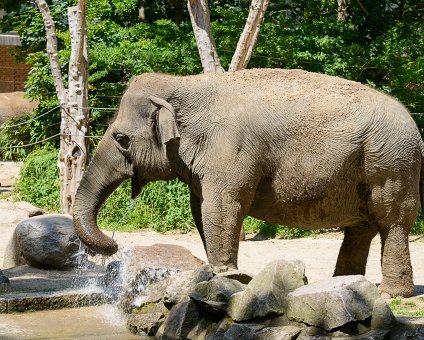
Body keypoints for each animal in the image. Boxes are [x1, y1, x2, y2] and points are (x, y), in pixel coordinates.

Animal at [73, 68, 424, 298]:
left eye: (121, 139)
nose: (114, 245)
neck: (184, 84)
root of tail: (415, 128)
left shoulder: (231, 149)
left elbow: (222, 207)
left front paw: (228, 280)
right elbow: (202, 210)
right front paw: (219, 277)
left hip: (390, 164)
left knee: (391, 222)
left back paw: (391, 295)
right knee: (360, 228)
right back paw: (343, 284)